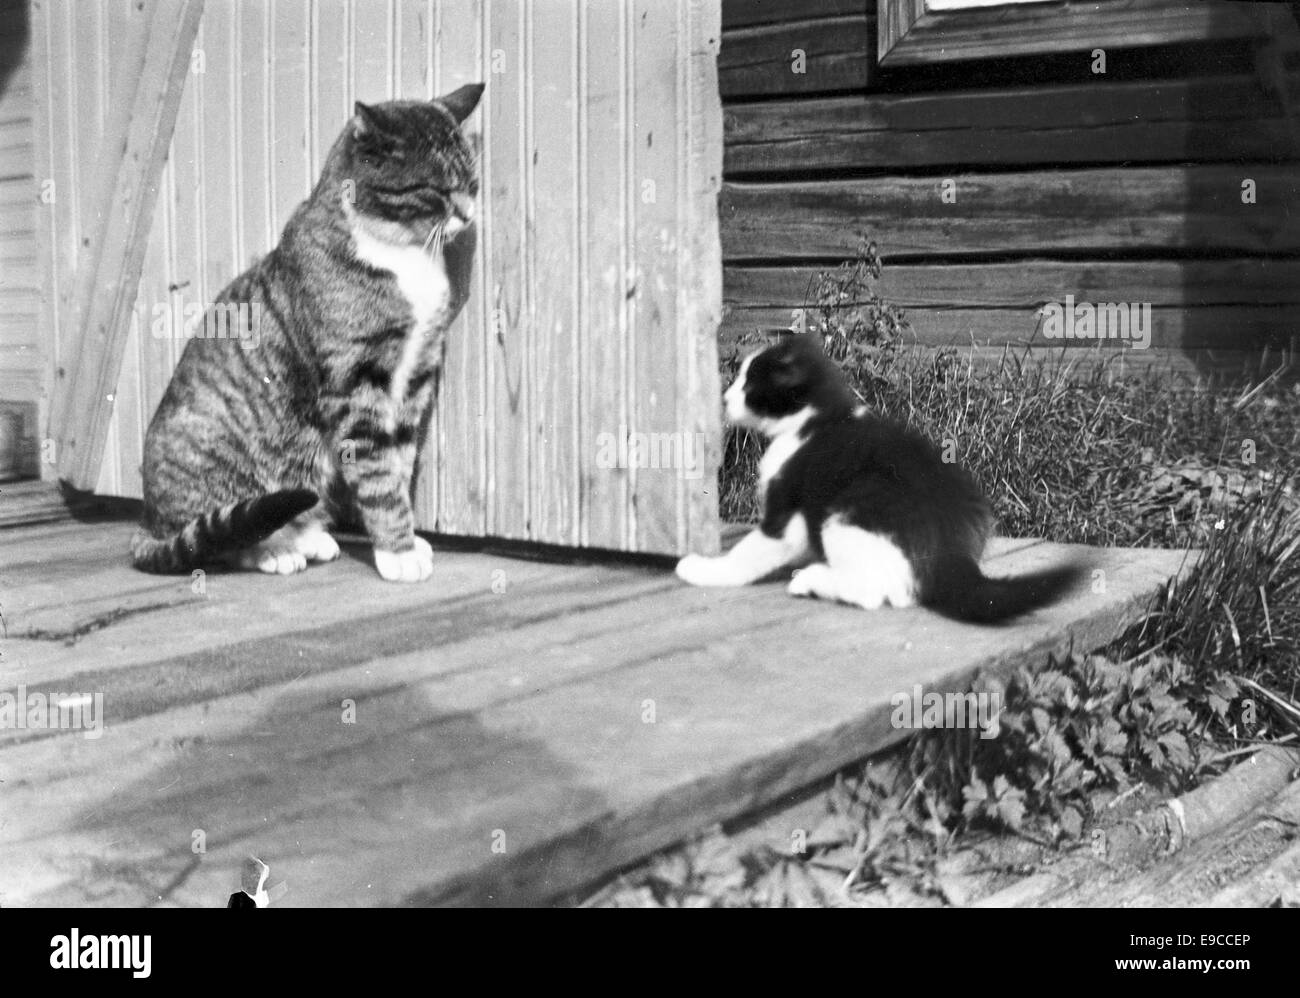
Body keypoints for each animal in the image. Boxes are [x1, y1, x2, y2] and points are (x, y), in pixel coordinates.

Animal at [134, 89, 486, 584]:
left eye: (472, 184)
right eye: (436, 190)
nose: (470, 215)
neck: (401, 254)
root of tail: (149, 524)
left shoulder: (414, 379)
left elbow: (398, 465)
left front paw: (405, 538)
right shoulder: (356, 384)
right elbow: (379, 476)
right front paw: (397, 551)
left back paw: (308, 537)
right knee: (223, 536)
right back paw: (275, 551)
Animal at [676, 335, 1081, 618]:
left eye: (748, 385)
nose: (723, 399)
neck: (819, 415)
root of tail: (951, 553)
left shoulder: (785, 513)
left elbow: (748, 553)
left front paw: (703, 569)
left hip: (850, 507)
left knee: (877, 593)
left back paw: (813, 580)